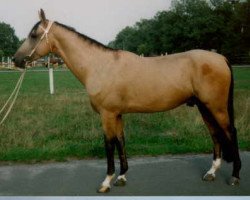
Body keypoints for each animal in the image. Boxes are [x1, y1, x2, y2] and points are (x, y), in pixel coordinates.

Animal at [12, 9, 241, 192]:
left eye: (33, 35)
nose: (16, 60)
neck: (99, 65)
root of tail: (220, 58)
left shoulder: (107, 115)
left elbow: (109, 144)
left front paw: (106, 182)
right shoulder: (117, 114)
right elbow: (121, 142)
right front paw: (121, 177)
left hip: (217, 107)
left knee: (230, 132)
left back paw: (235, 176)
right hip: (205, 107)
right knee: (215, 134)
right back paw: (211, 173)